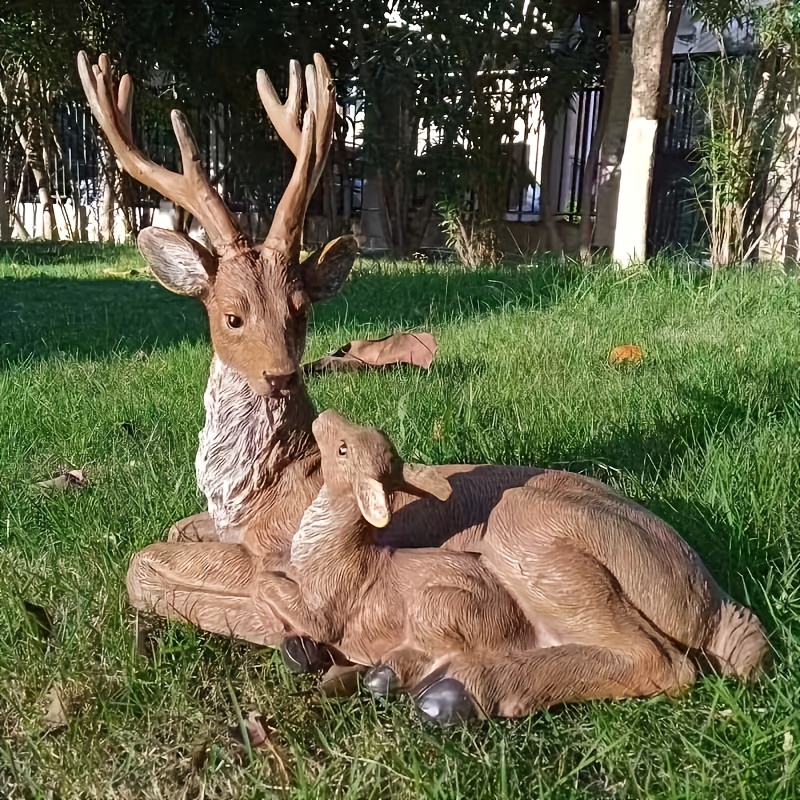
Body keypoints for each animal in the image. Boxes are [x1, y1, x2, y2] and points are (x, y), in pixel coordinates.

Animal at [77, 52, 769, 725]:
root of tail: (717, 605)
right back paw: (388, 673)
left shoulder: (276, 552)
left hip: (533, 540)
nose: (280, 375)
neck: (262, 484)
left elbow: (146, 565)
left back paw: (452, 688)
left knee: (662, 663)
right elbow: (170, 537)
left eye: (301, 309)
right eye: (232, 316)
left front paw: (285, 633)